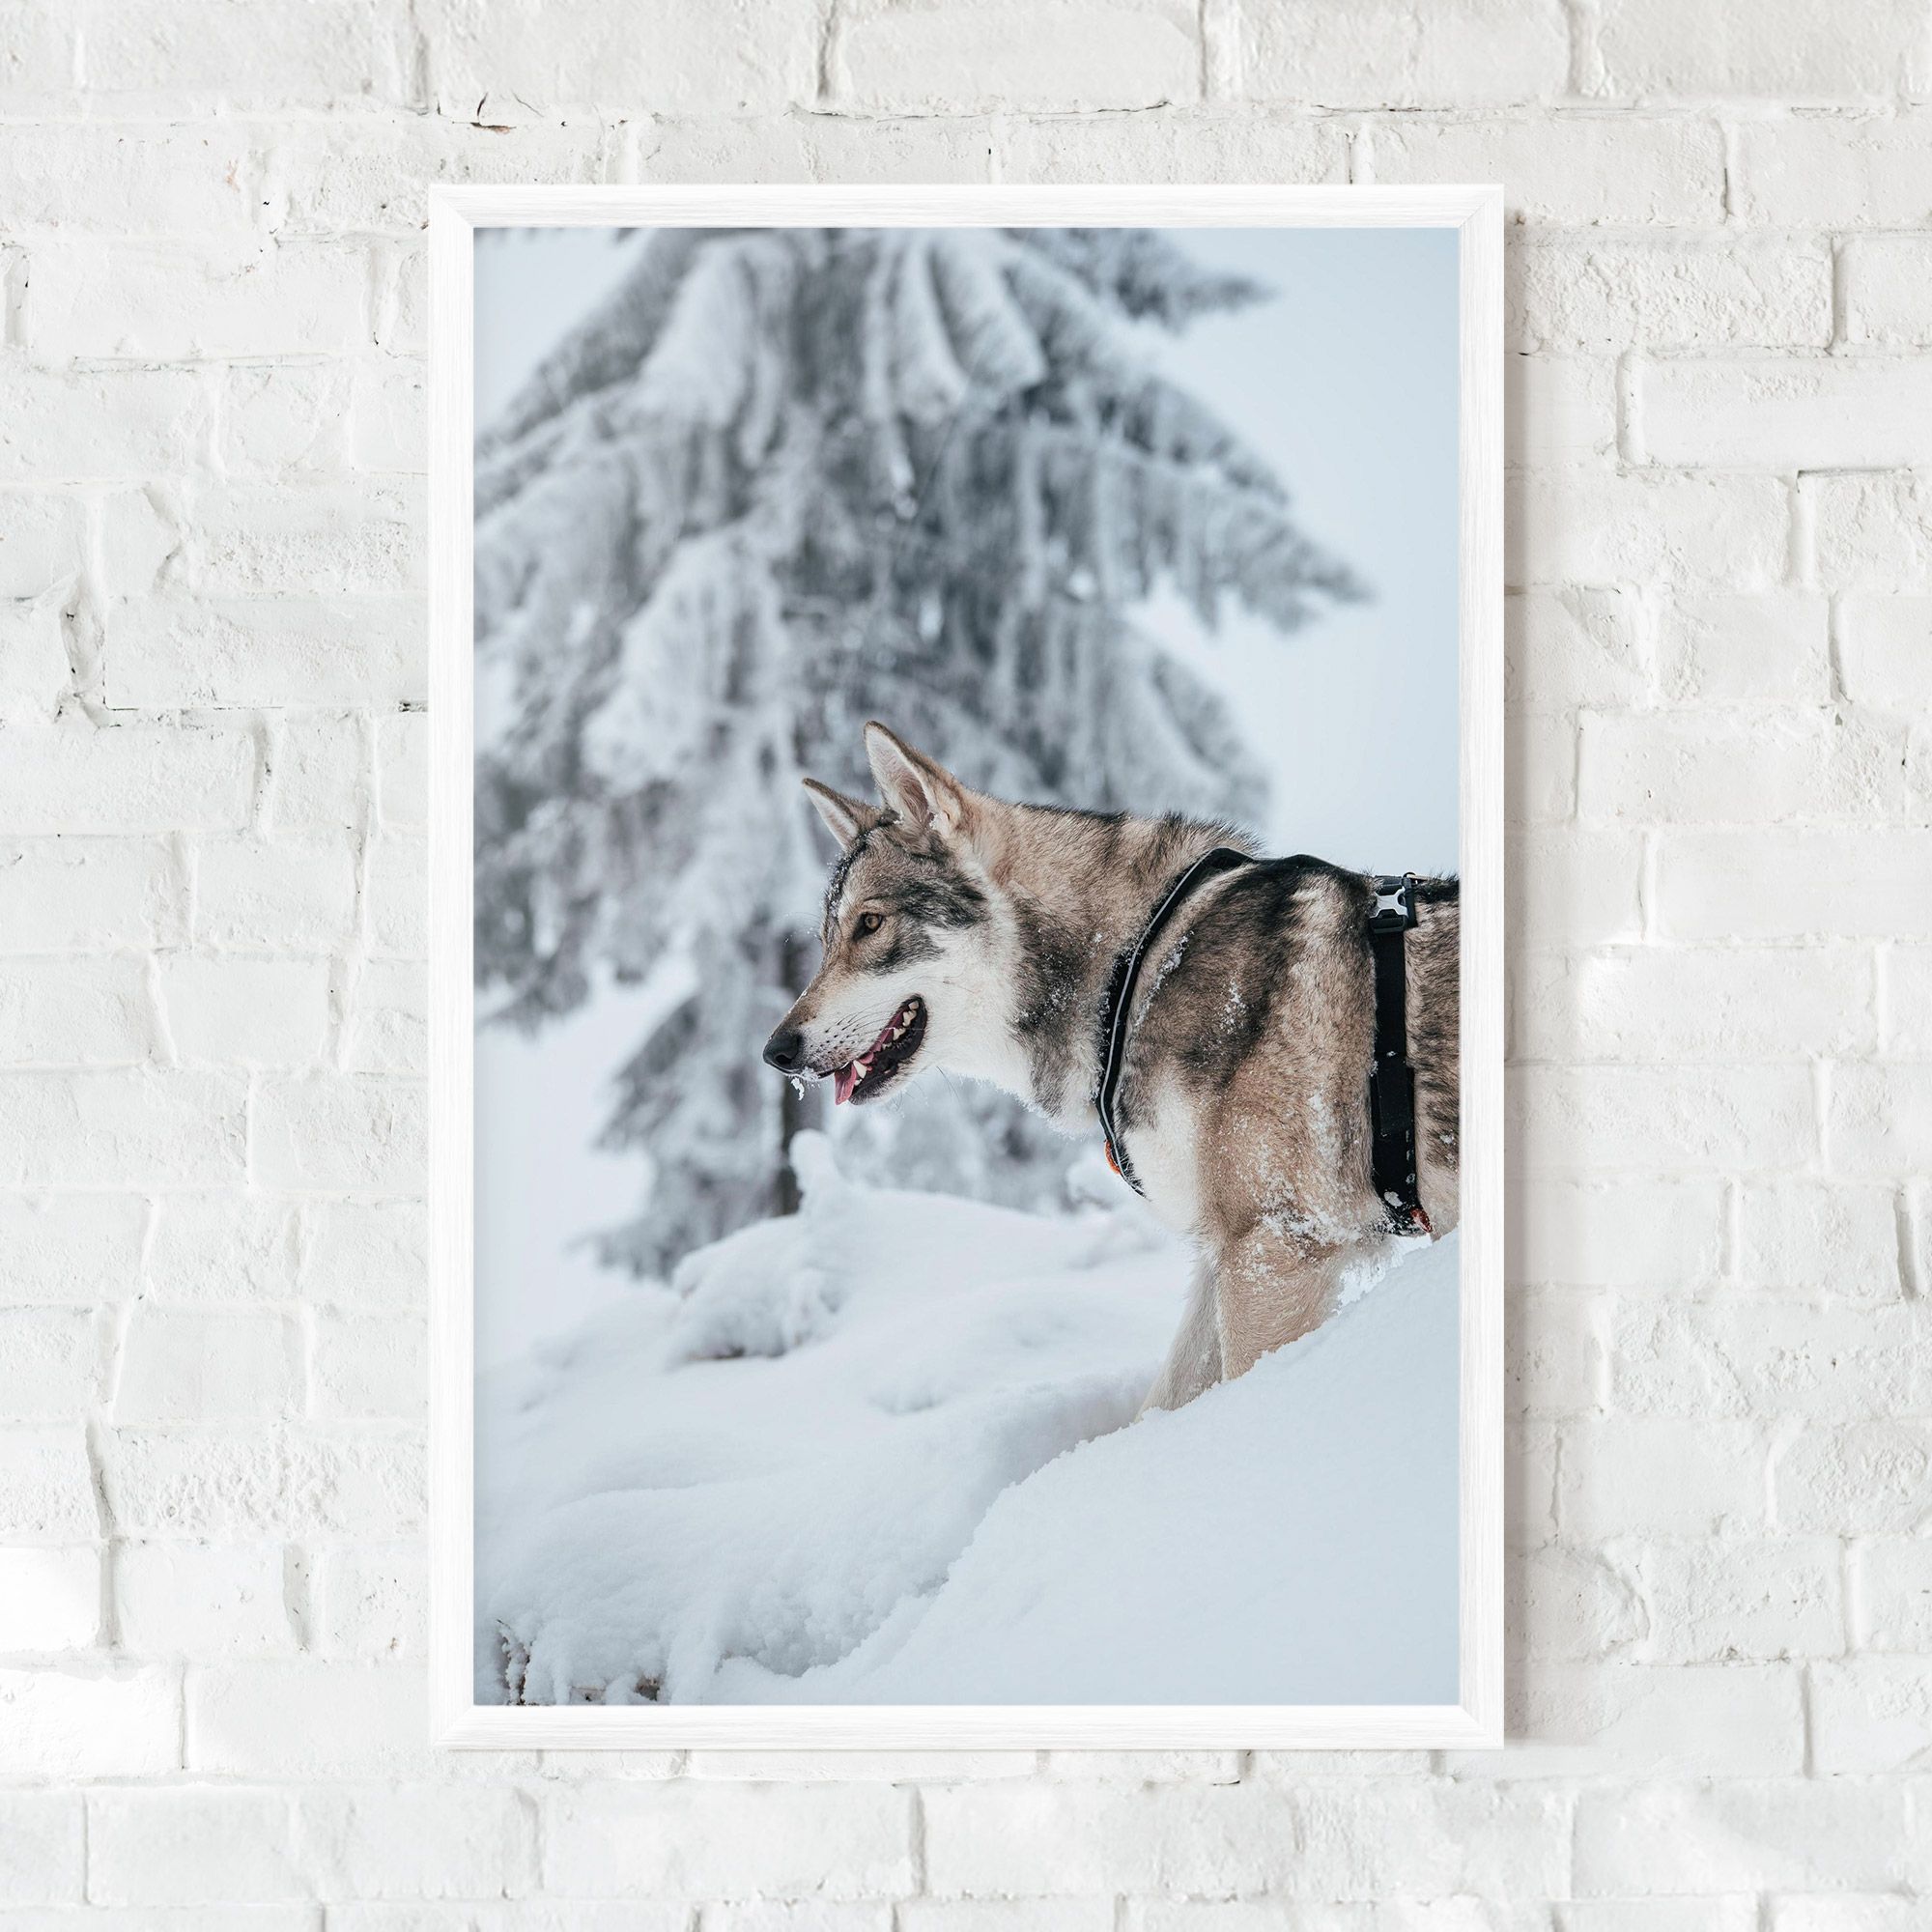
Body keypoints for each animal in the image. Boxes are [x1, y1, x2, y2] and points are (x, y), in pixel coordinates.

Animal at [763, 722, 1459, 1413]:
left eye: (870, 924)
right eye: (826, 941)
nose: (776, 1051)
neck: (1135, 966)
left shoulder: (1274, 1248)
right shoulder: (1224, 1255)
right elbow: (1161, 1404)